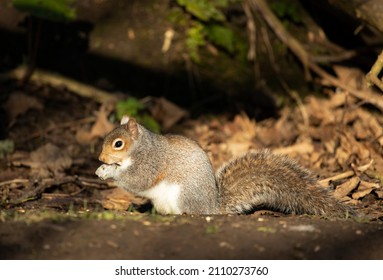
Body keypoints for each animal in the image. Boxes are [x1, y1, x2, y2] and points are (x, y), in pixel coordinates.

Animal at [95, 115, 354, 218]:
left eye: (118, 144)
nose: (100, 158)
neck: (140, 148)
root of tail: (212, 208)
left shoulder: (151, 162)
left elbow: (138, 180)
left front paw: (110, 172)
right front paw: (102, 170)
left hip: (183, 195)